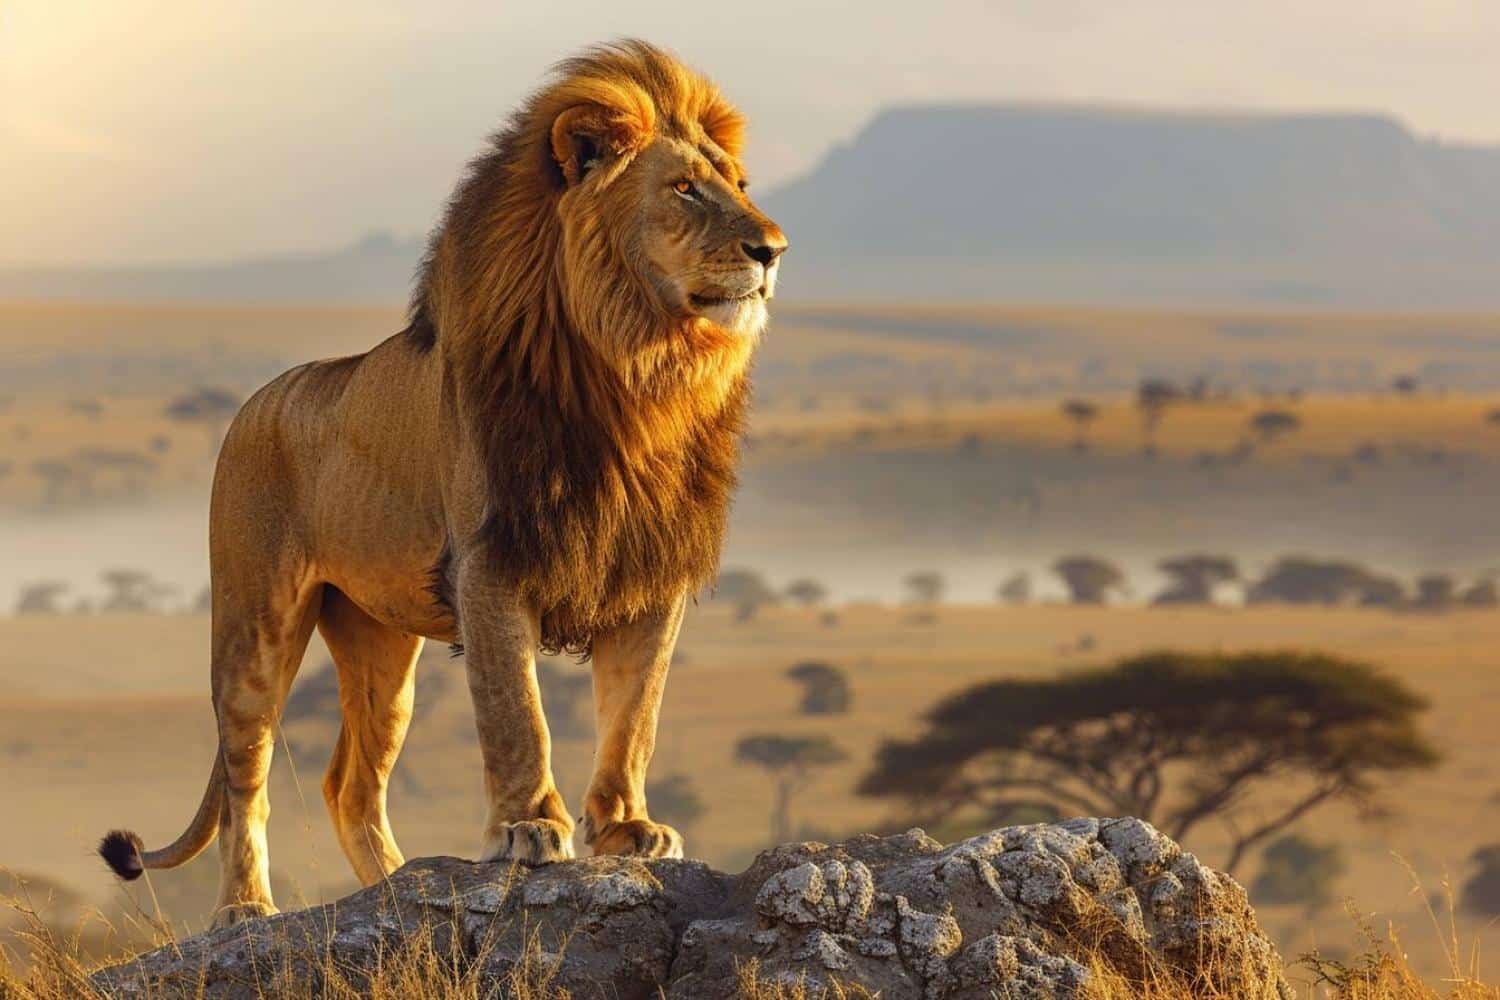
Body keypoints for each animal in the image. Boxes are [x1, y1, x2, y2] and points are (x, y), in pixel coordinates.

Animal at [98, 40, 786, 929]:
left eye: (740, 184)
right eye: (684, 189)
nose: (773, 249)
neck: (636, 374)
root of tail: (260, 399)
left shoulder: (649, 570)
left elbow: (635, 715)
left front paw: (629, 829)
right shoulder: (492, 561)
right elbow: (516, 711)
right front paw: (530, 828)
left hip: (378, 644)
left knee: (350, 786)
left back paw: (398, 884)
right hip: (254, 622)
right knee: (250, 774)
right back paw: (247, 908)